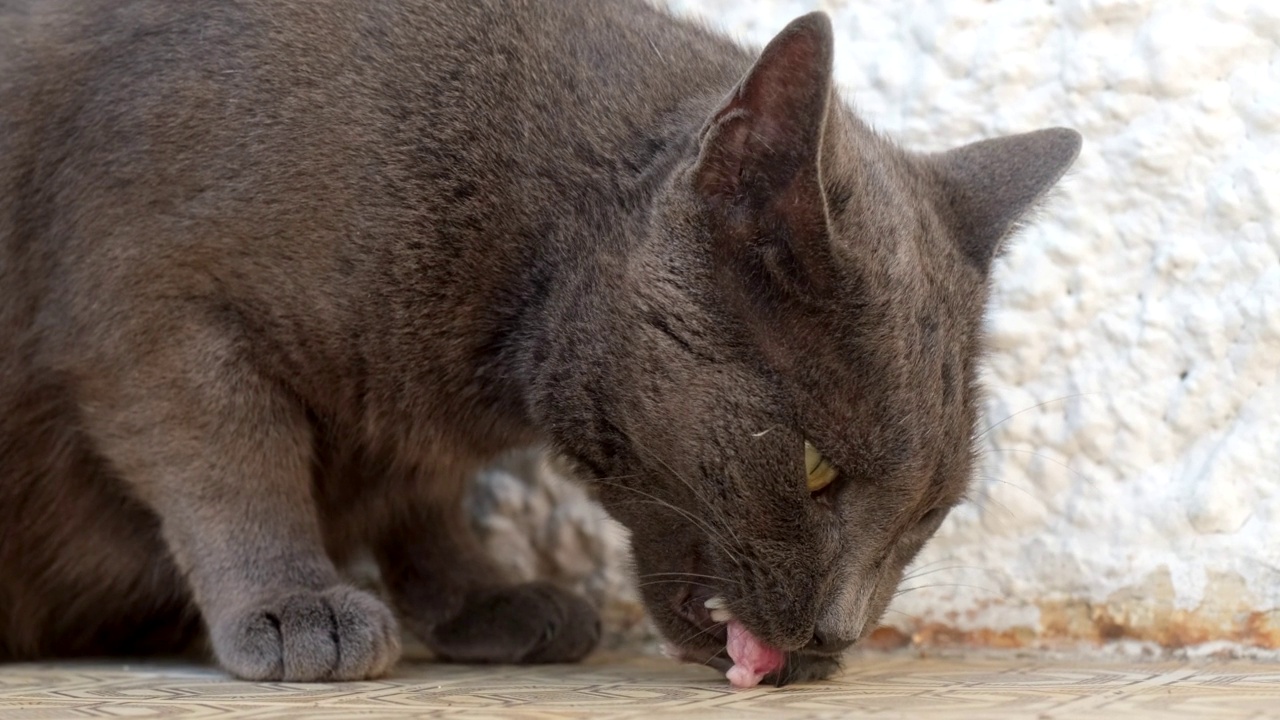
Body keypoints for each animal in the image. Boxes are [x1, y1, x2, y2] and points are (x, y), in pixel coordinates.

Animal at [0, 0, 1080, 681]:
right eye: (816, 468)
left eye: (929, 512)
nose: (837, 633)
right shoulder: (157, 306)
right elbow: (234, 463)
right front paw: (296, 603)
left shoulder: (410, 415)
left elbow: (420, 494)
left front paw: (482, 597)